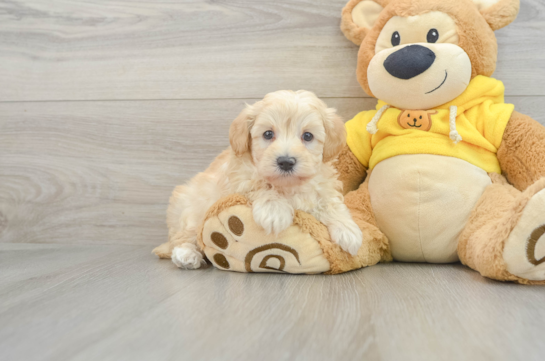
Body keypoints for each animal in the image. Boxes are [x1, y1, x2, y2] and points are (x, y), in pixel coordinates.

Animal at [156, 91, 362, 268]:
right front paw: (274, 211)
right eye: (268, 134)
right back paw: (186, 255)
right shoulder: (239, 180)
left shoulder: (322, 187)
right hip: (193, 208)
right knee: (184, 236)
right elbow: (260, 185)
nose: (286, 162)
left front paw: (348, 230)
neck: (287, 186)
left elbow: (330, 203)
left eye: (308, 136)